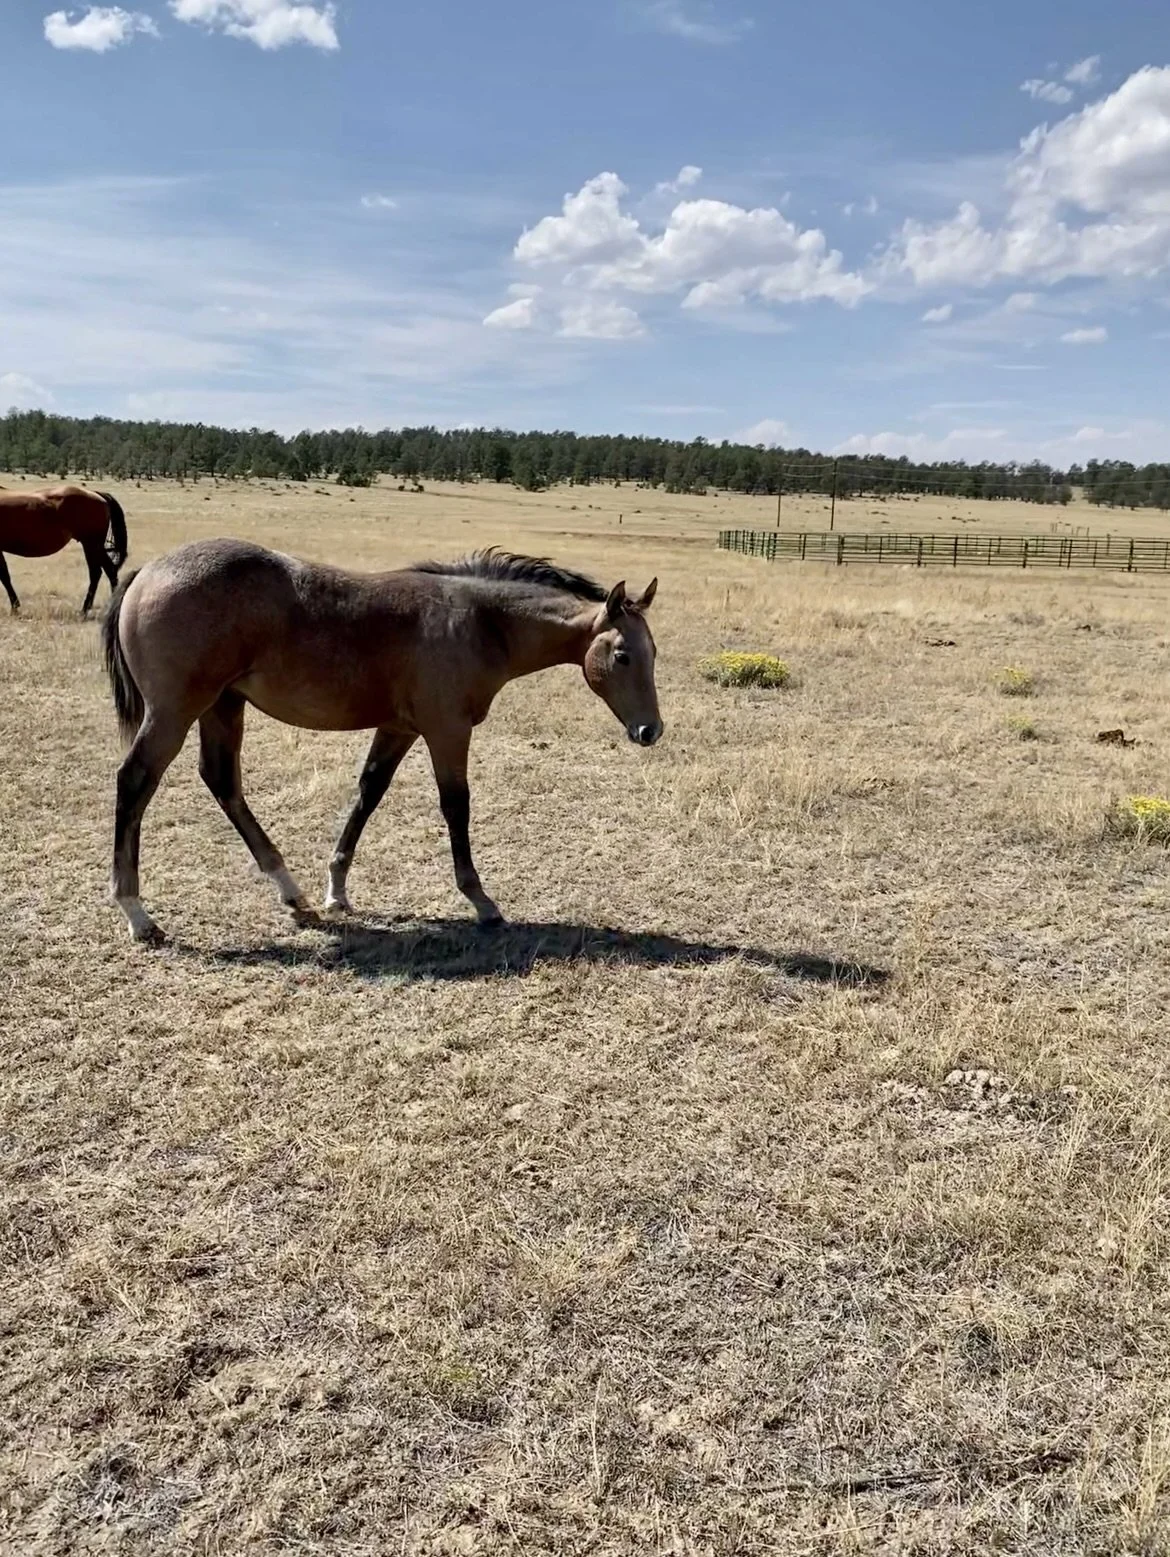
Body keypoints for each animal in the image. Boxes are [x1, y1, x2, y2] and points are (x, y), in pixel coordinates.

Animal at [0, 484, 128, 615]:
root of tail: (95, 494)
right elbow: (5, 576)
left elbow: (4, 577)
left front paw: (15, 607)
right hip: (90, 545)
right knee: (99, 572)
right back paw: (86, 609)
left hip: (93, 544)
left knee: (107, 571)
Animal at [101, 540, 662, 944]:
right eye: (622, 656)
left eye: (653, 652)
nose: (650, 730)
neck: (481, 623)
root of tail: (147, 571)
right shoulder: (447, 730)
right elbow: (456, 806)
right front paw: (481, 901)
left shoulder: (399, 728)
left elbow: (367, 794)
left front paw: (336, 890)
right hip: (175, 711)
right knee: (135, 781)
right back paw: (137, 914)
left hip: (222, 706)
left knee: (222, 781)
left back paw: (292, 893)